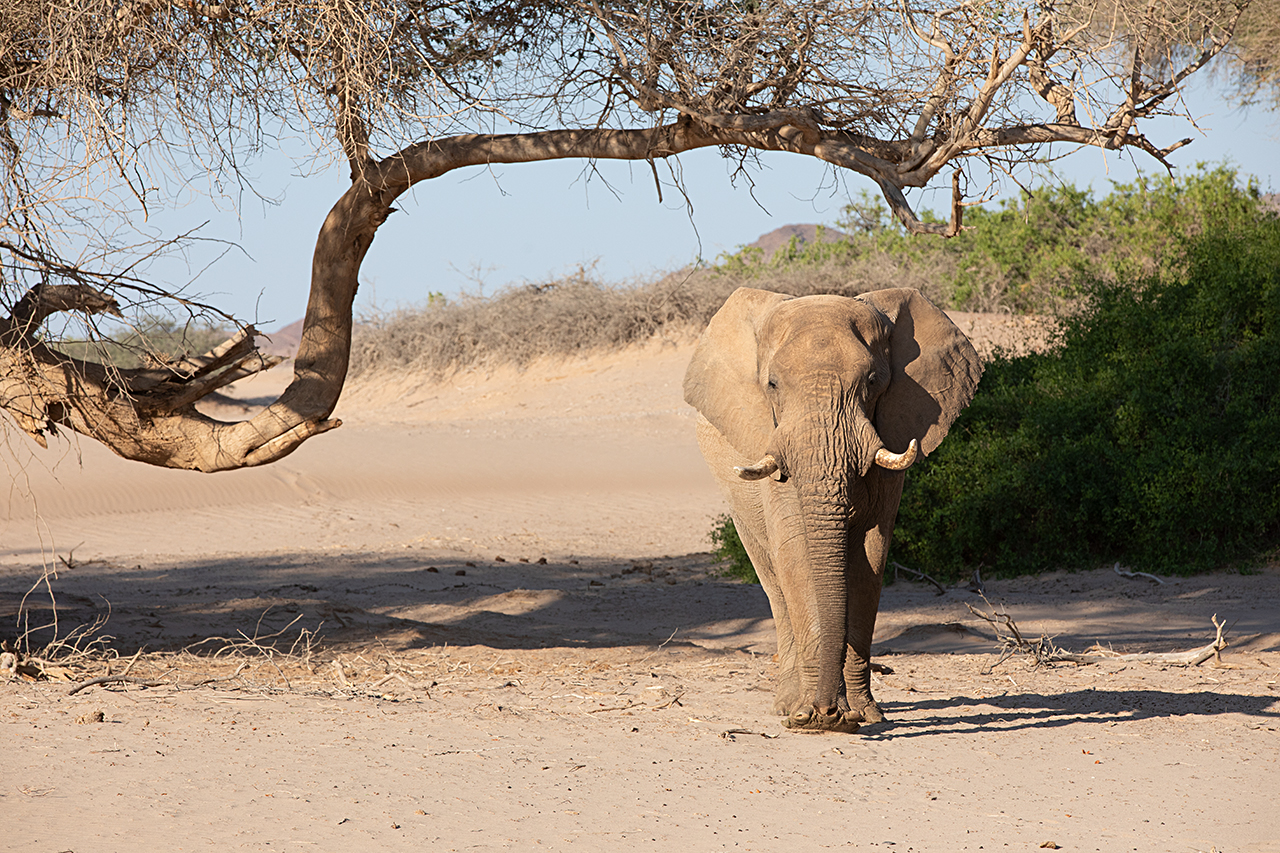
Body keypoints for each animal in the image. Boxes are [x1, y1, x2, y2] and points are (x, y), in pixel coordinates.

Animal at [691, 285, 977, 732]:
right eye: (772, 384)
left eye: (873, 381)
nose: (827, 712)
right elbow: (796, 552)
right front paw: (806, 714)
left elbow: (872, 555)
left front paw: (861, 714)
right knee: (773, 581)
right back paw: (786, 704)